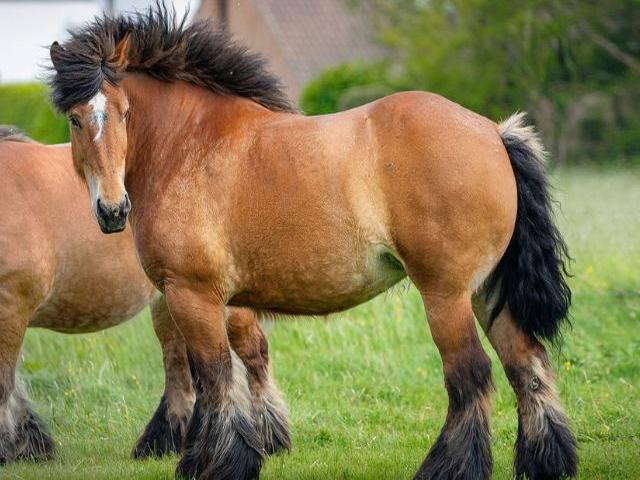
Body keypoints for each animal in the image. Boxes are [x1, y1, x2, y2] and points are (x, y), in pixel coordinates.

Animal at [0, 126, 289, 465]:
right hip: (172, 301)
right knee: (180, 367)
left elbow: (4, 383)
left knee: (251, 353)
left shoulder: (12, 307)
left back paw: (268, 437)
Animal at [47, 6, 577, 480]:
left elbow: (214, 379)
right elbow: (229, 370)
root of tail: (493, 132)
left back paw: (449, 468)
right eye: (75, 119)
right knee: (525, 363)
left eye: (124, 113)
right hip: (488, 291)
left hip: (446, 295)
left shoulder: (191, 295)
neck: (187, 145)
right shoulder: (220, 301)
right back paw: (545, 461)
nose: (112, 211)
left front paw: (218, 464)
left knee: (470, 376)